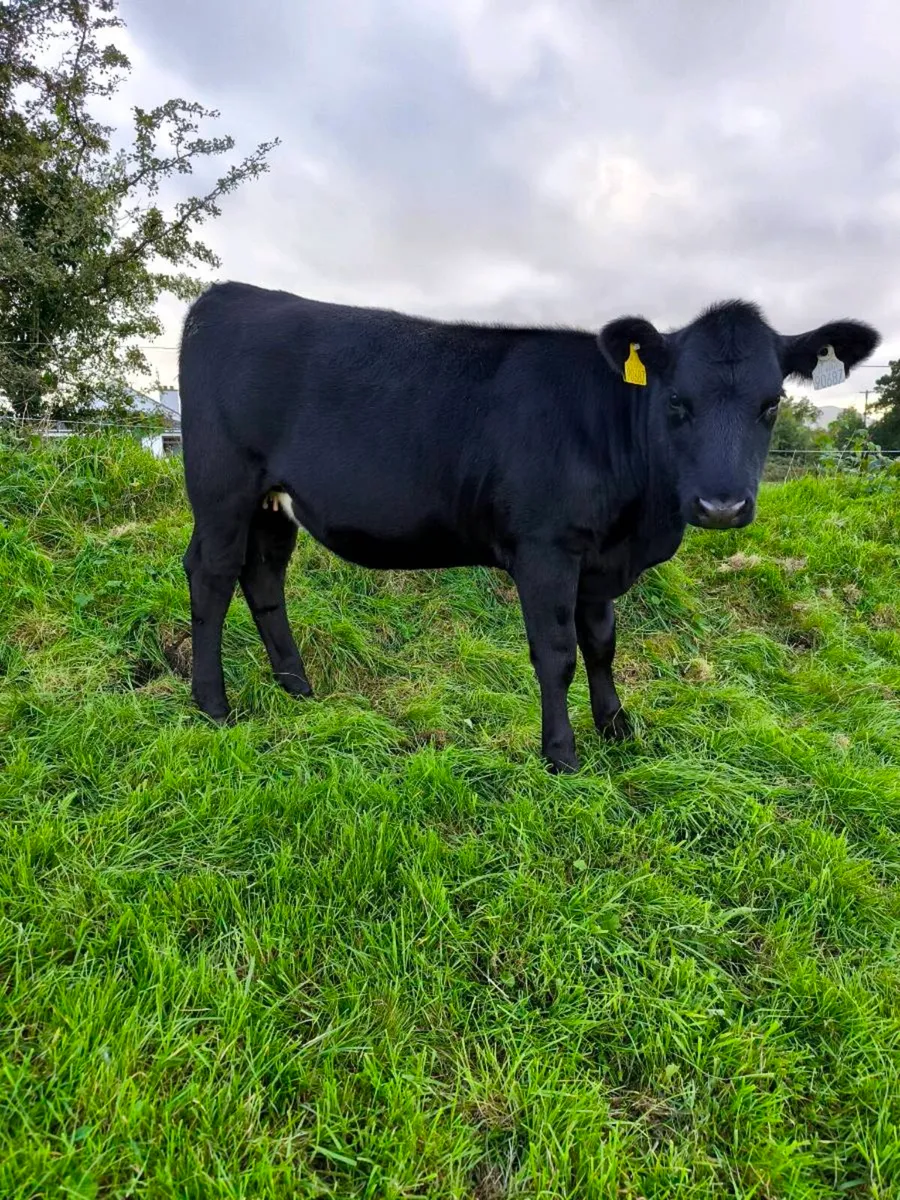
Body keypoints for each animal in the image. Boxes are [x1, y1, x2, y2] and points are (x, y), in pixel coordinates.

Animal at [178, 282, 879, 772]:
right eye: (677, 401)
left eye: (772, 404)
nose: (722, 506)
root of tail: (229, 293)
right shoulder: (547, 549)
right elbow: (558, 652)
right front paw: (562, 754)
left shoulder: (597, 559)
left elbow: (602, 644)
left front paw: (617, 727)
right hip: (222, 485)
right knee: (211, 576)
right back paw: (213, 705)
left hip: (273, 504)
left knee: (263, 581)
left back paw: (298, 690)